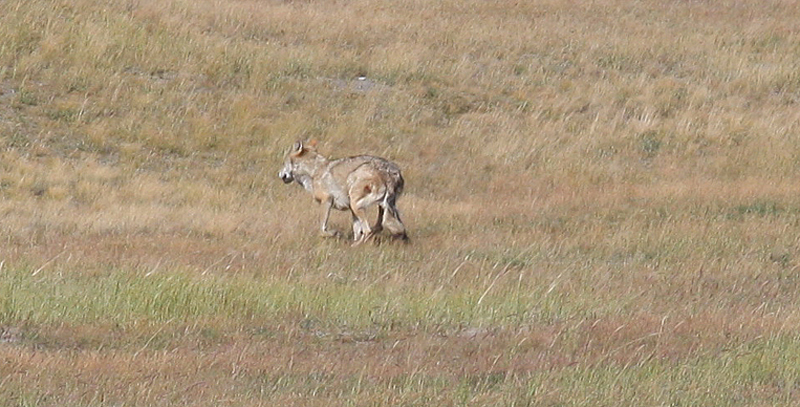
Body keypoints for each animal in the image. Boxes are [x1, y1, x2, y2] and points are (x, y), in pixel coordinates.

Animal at [278, 141, 410, 245]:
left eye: (283, 162)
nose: (279, 174)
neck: (313, 171)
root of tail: (390, 172)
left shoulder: (326, 201)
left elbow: (322, 230)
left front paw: (335, 233)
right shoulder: (350, 210)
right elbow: (356, 231)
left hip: (357, 204)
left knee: (368, 230)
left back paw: (354, 246)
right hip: (381, 206)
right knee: (381, 227)